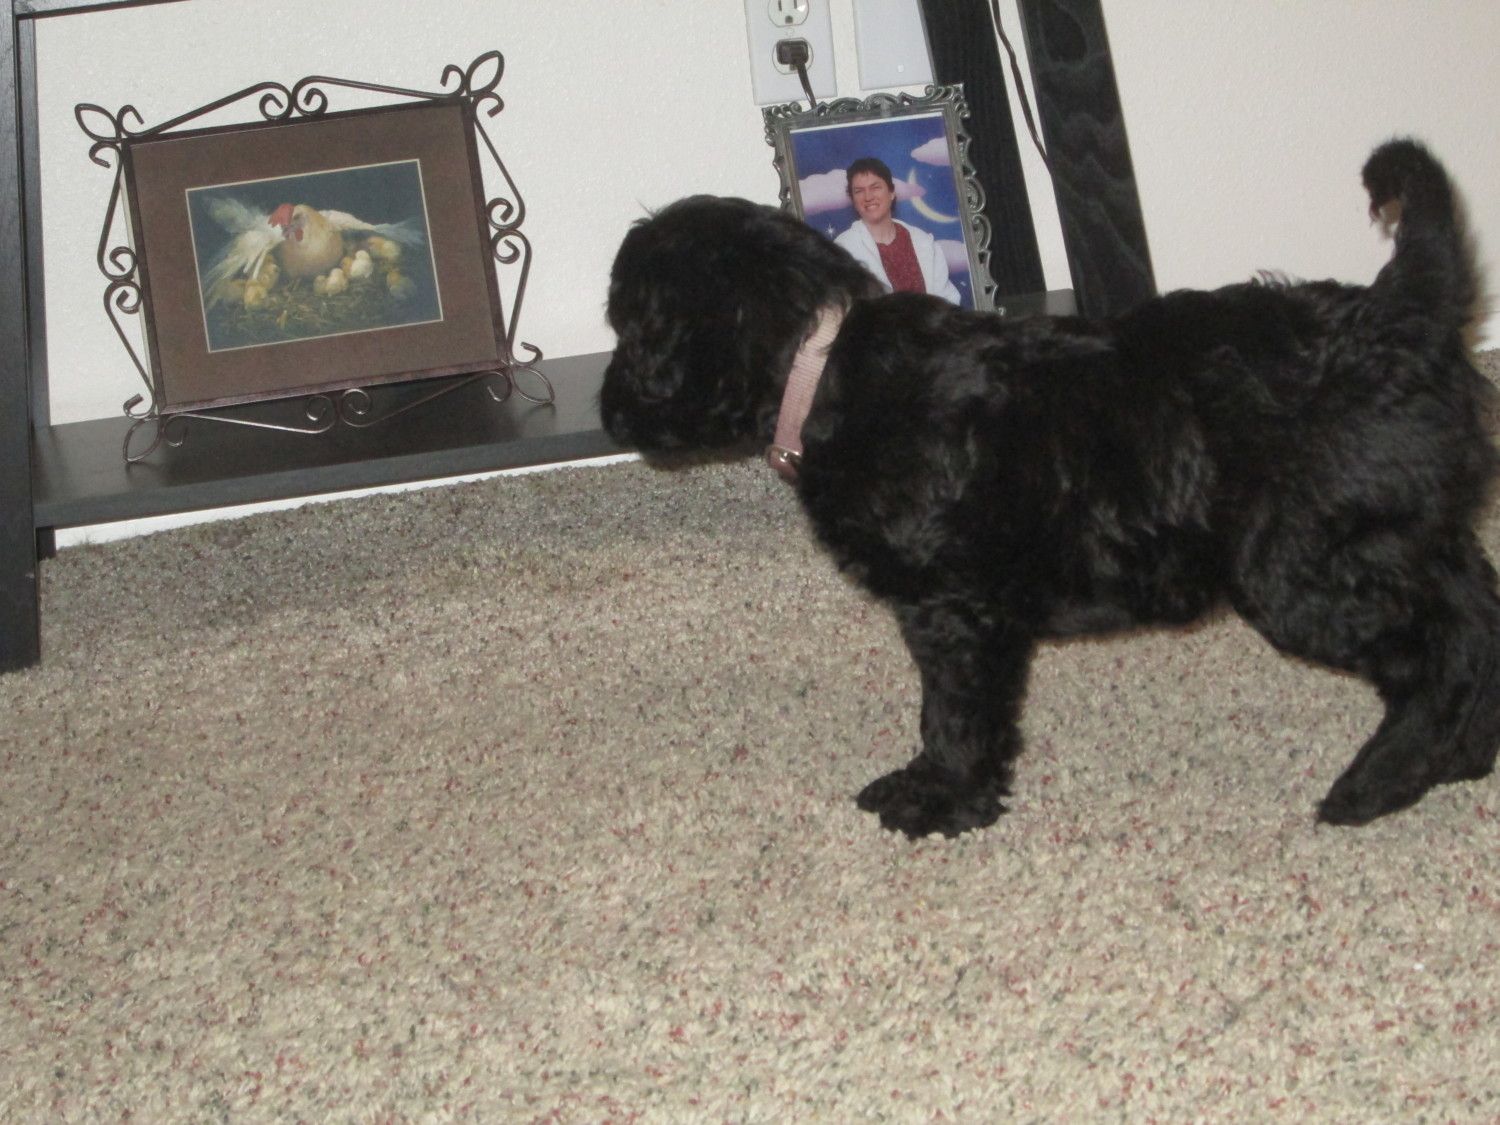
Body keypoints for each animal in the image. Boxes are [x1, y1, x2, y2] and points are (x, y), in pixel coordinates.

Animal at [599, 140, 1500, 838]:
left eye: (630, 329)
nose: (606, 410)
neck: (823, 368)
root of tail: (1398, 314)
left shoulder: (951, 610)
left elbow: (953, 711)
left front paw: (940, 797)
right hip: (1403, 530)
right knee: (1475, 611)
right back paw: (1465, 755)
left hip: (1300, 567)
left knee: (1442, 654)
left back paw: (1377, 782)